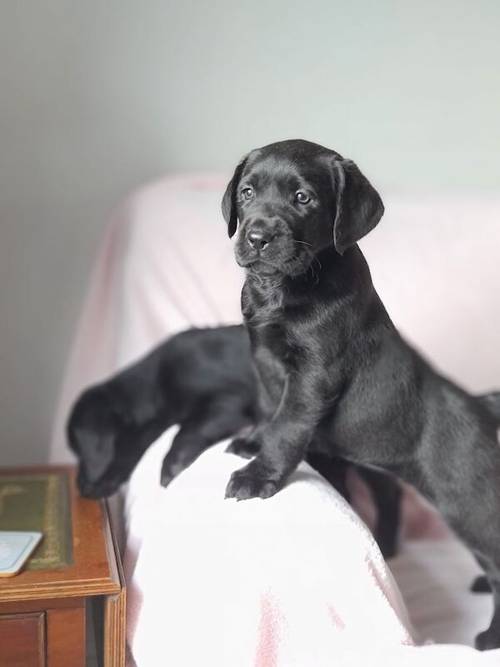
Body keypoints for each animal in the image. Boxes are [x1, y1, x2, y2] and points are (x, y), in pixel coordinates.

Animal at [69, 324, 402, 560]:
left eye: (83, 450)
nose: (81, 486)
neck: (156, 383)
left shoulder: (228, 403)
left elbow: (190, 429)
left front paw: (172, 465)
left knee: (389, 491)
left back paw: (388, 544)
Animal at [221, 138, 500, 648]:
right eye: (247, 192)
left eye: (303, 198)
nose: (257, 236)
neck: (284, 287)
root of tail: (483, 407)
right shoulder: (263, 356)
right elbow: (271, 408)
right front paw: (252, 441)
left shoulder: (313, 374)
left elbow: (287, 423)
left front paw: (258, 474)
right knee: (390, 498)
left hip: (470, 503)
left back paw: (491, 636)